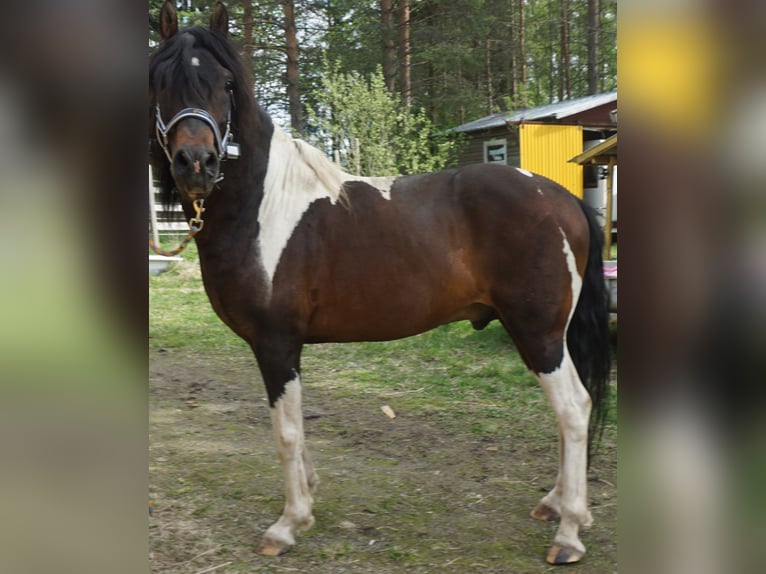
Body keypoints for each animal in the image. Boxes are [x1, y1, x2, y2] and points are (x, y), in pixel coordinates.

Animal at [149, 1, 610, 565]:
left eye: (226, 82)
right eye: (161, 81)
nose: (196, 163)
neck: (262, 206)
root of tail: (560, 198)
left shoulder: (275, 342)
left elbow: (285, 432)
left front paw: (288, 523)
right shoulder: (286, 347)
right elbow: (296, 430)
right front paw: (307, 499)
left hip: (539, 334)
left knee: (573, 409)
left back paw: (568, 534)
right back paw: (557, 504)